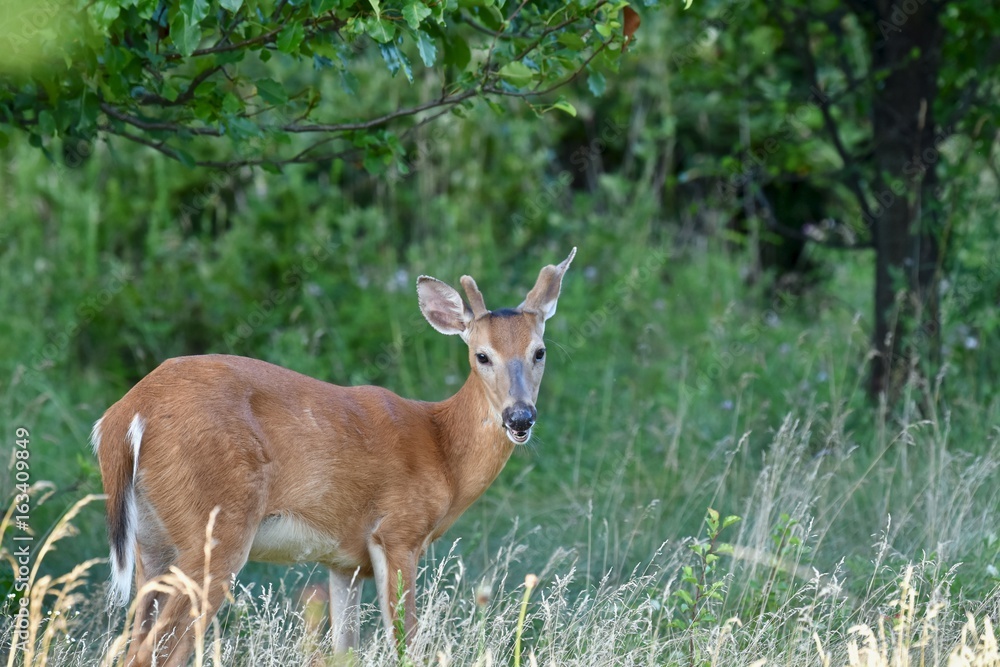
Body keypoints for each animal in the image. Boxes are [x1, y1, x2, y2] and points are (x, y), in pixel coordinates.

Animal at [94, 249, 580, 667]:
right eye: (482, 356)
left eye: (539, 351)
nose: (520, 416)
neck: (442, 450)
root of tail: (125, 415)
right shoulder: (397, 532)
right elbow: (407, 645)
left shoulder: (344, 561)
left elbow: (346, 649)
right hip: (215, 529)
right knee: (152, 653)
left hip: (152, 546)